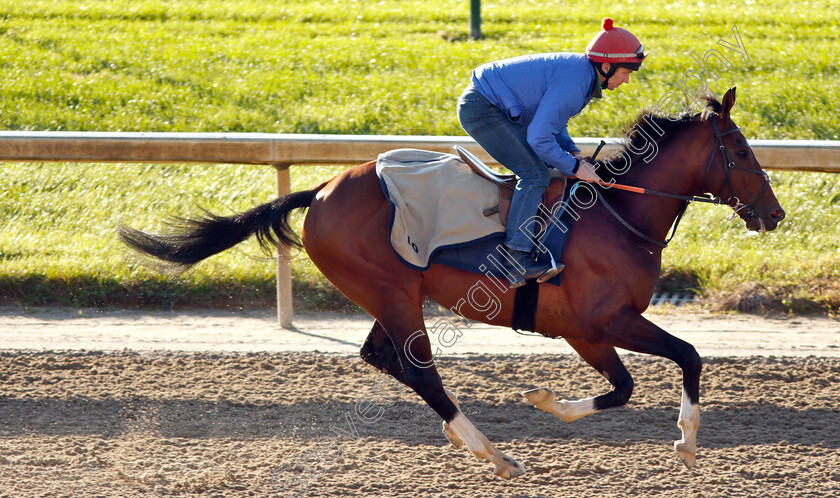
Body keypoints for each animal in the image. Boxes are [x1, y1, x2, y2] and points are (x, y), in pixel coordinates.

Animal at [120, 87, 788, 476]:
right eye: (742, 152)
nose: (775, 214)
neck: (618, 212)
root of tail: (322, 190)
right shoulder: (603, 321)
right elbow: (686, 356)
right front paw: (686, 441)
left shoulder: (587, 331)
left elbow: (626, 386)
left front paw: (549, 401)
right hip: (391, 293)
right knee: (419, 369)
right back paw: (490, 450)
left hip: (391, 295)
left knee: (382, 356)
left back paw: (463, 437)